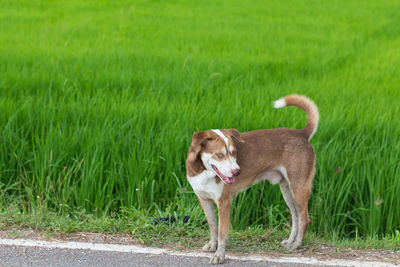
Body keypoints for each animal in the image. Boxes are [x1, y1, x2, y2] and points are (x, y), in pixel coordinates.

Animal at [186, 94, 320, 264]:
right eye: (220, 155)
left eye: (234, 152)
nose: (237, 172)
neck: (204, 171)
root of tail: (301, 134)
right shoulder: (204, 199)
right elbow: (213, 226)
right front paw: (212, 245)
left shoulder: (224, 201)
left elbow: (222, 232)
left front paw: (219, 255)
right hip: (287, 189)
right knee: (296, 216)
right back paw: (291, 241)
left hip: (299, 188)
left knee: (304, 218)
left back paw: (296, 245)